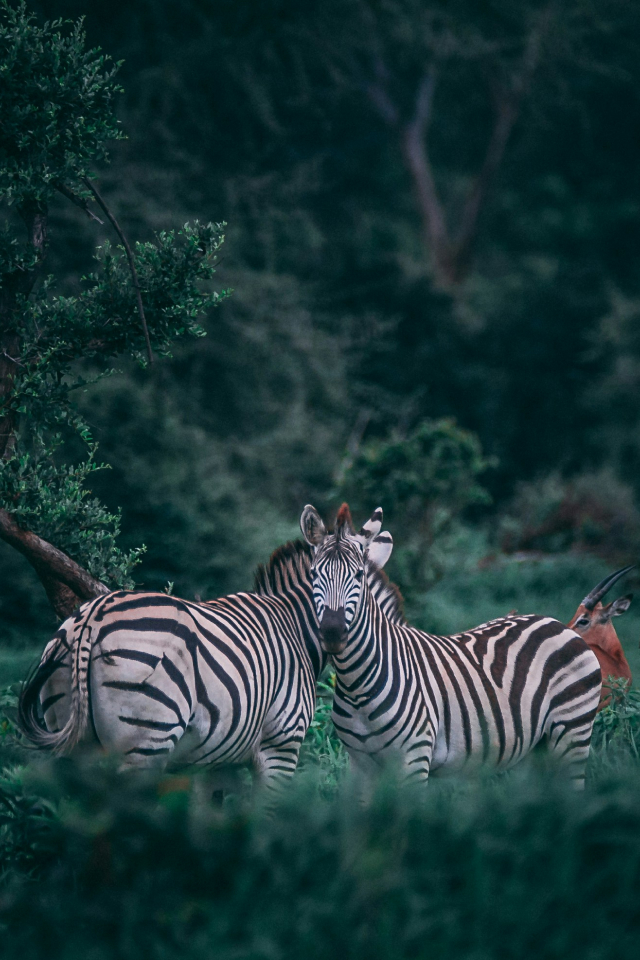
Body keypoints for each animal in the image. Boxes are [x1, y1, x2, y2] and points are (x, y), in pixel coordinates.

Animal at [302, 502, 604, 788]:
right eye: (313, 574)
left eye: (358, 575)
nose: (332, 633)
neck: (358, 685)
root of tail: (556, 623)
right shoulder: (360, 764)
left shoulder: (415, 758)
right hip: (534, 749)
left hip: (573, 732)